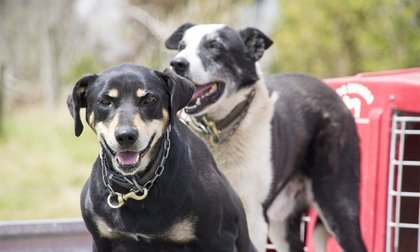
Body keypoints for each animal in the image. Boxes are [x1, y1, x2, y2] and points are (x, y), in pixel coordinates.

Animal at [68, 63, 256, 252]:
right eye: (105, 101)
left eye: (149, 100)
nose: (125, 136)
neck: (137, 186)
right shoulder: (102, 240)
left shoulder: (218, 239)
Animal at [166, 23, 366, 252]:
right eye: (182, 46)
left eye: (215, 46)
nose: (177, 64)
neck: (217, 131)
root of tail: (334, 94)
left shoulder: (253, 217)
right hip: (282, 225)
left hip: (337, 204)